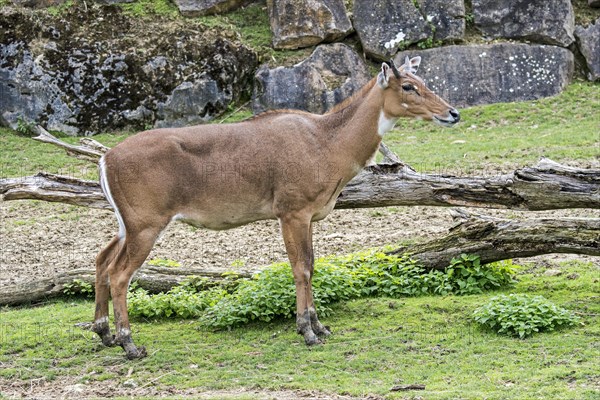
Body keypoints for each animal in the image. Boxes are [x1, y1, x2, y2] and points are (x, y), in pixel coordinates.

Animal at [92, 56, 460, 360]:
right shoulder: (291, 210)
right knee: (120, 273)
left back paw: (104, 333)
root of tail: (105, 160)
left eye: (422, 79)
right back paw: (129, 344)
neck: (329, 145)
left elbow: (312, 264)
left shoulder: (311, 215)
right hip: (147, 223)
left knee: (102, 259)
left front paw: (320, 325)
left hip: (127, 224)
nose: (452, 113)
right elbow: (301, 268)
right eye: (408, 85)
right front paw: (307, 331)